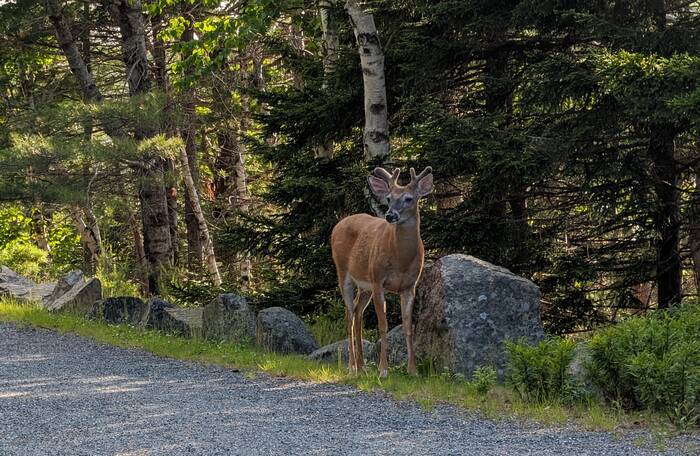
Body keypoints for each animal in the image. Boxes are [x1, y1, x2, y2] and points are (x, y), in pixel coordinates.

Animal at [331, 166, 433, 378]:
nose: (390, 215)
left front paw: (413, 370)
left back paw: (362, 366)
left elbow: (408, 327)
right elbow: (383, 325)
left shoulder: (410, 286)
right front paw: (383, 369)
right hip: (344, 273)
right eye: (388, 198)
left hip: (365, 285)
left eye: (409, 198)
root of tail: (338, 224)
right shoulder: (379, 281)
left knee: (357, 312)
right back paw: (352, 366)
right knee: (349, 314)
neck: (401, 259)